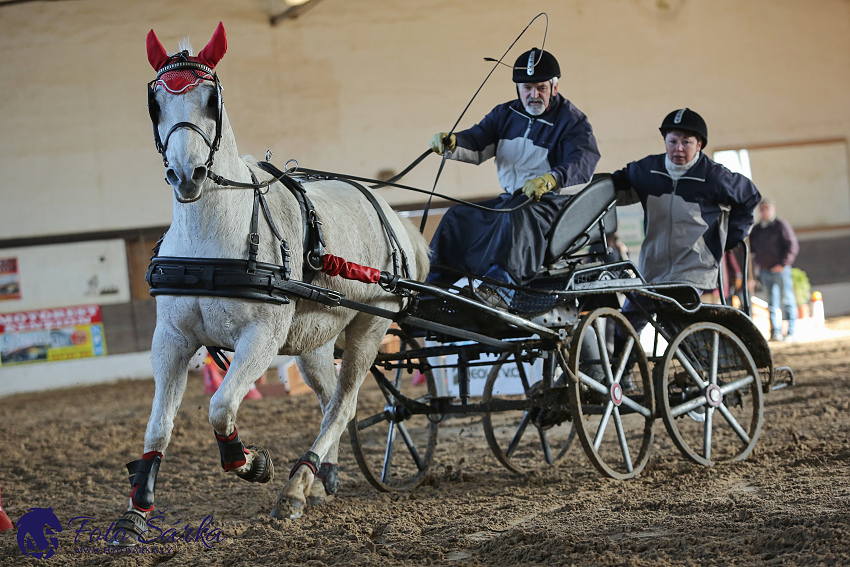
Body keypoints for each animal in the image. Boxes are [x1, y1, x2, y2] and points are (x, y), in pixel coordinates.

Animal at [111, 22, 430, 536]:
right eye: (156, 102)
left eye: (211, 100)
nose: (186, 174)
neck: (212, 238)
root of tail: (390, 212)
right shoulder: (172, 337)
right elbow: (158, 424)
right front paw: (136, 510)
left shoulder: (261, 335)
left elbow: (221, 407)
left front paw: (252, 463)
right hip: (317, 339)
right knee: (332, 400)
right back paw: (321, 478)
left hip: (371, 324)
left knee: (344, 403)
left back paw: (296, 489)